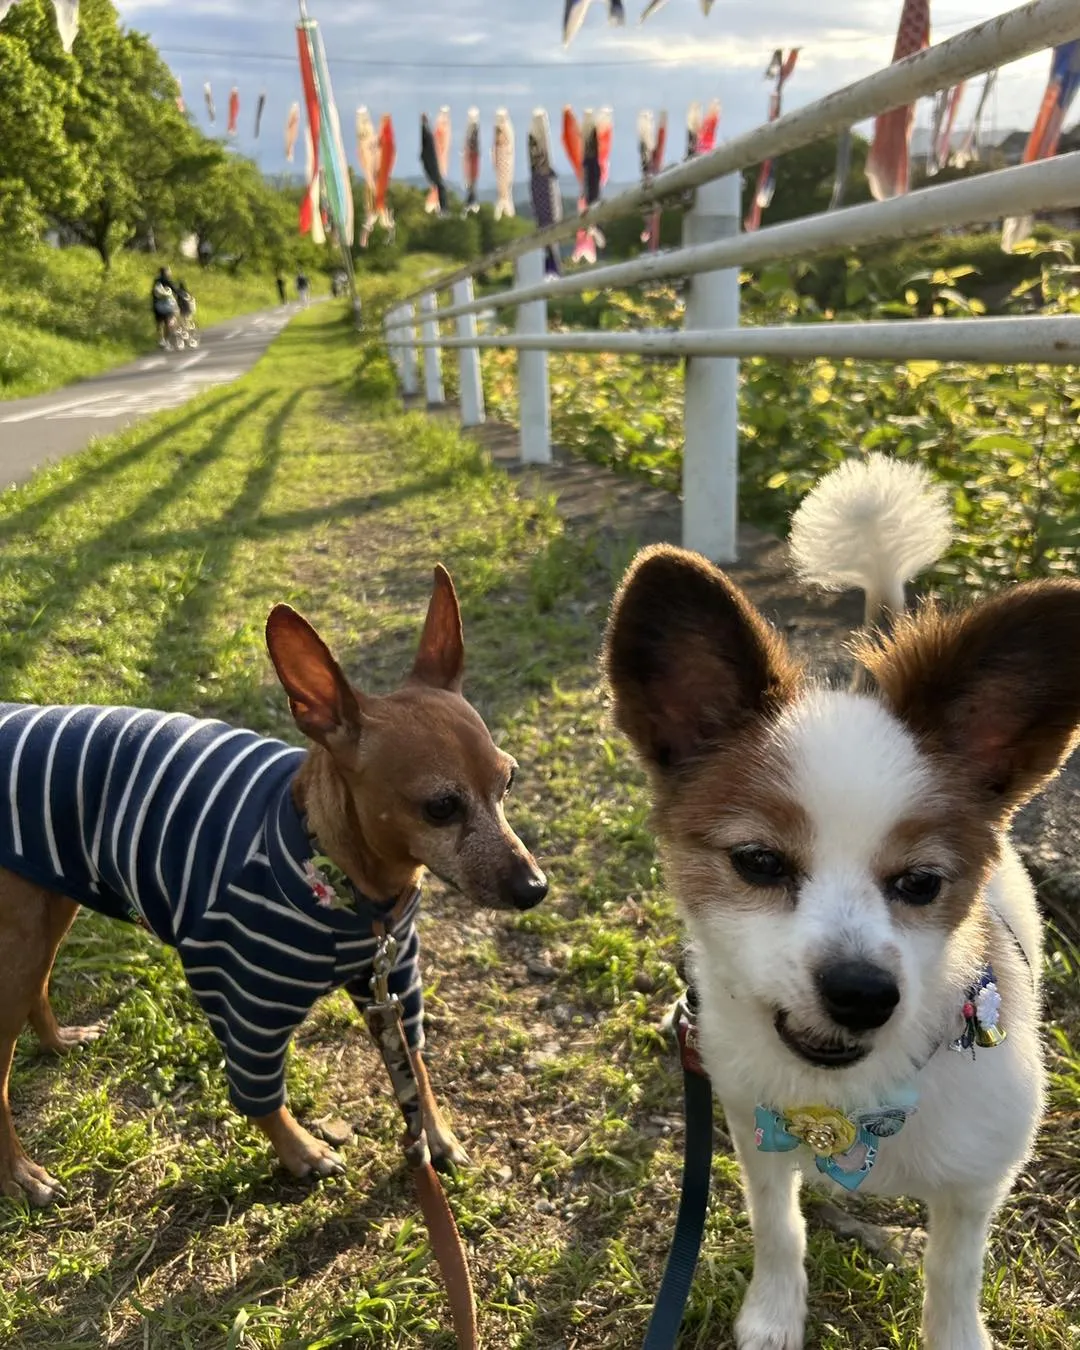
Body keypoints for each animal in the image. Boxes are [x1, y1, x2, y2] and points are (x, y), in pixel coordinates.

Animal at [0, 564, 548, 1209]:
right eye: (440, 807)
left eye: (508, 782)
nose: (535, 886)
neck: (343, 881)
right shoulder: (240, 999)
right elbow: (258, 1096)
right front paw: (299, 1151)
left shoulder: (392, 979)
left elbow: (414, 1064)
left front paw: (433, 1135)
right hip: (21, 938)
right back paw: (19, 1174)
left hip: (46, 912)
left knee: (36, 989)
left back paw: (58, 1041)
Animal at [607, 456, 1080, 1350]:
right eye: (758, 862)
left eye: (922, 884)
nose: (862, 993)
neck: (850, 1103)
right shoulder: (756, 1130)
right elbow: (777, 1226)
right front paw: (774, 1311)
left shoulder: (975, 1184)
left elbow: (952, 1278)